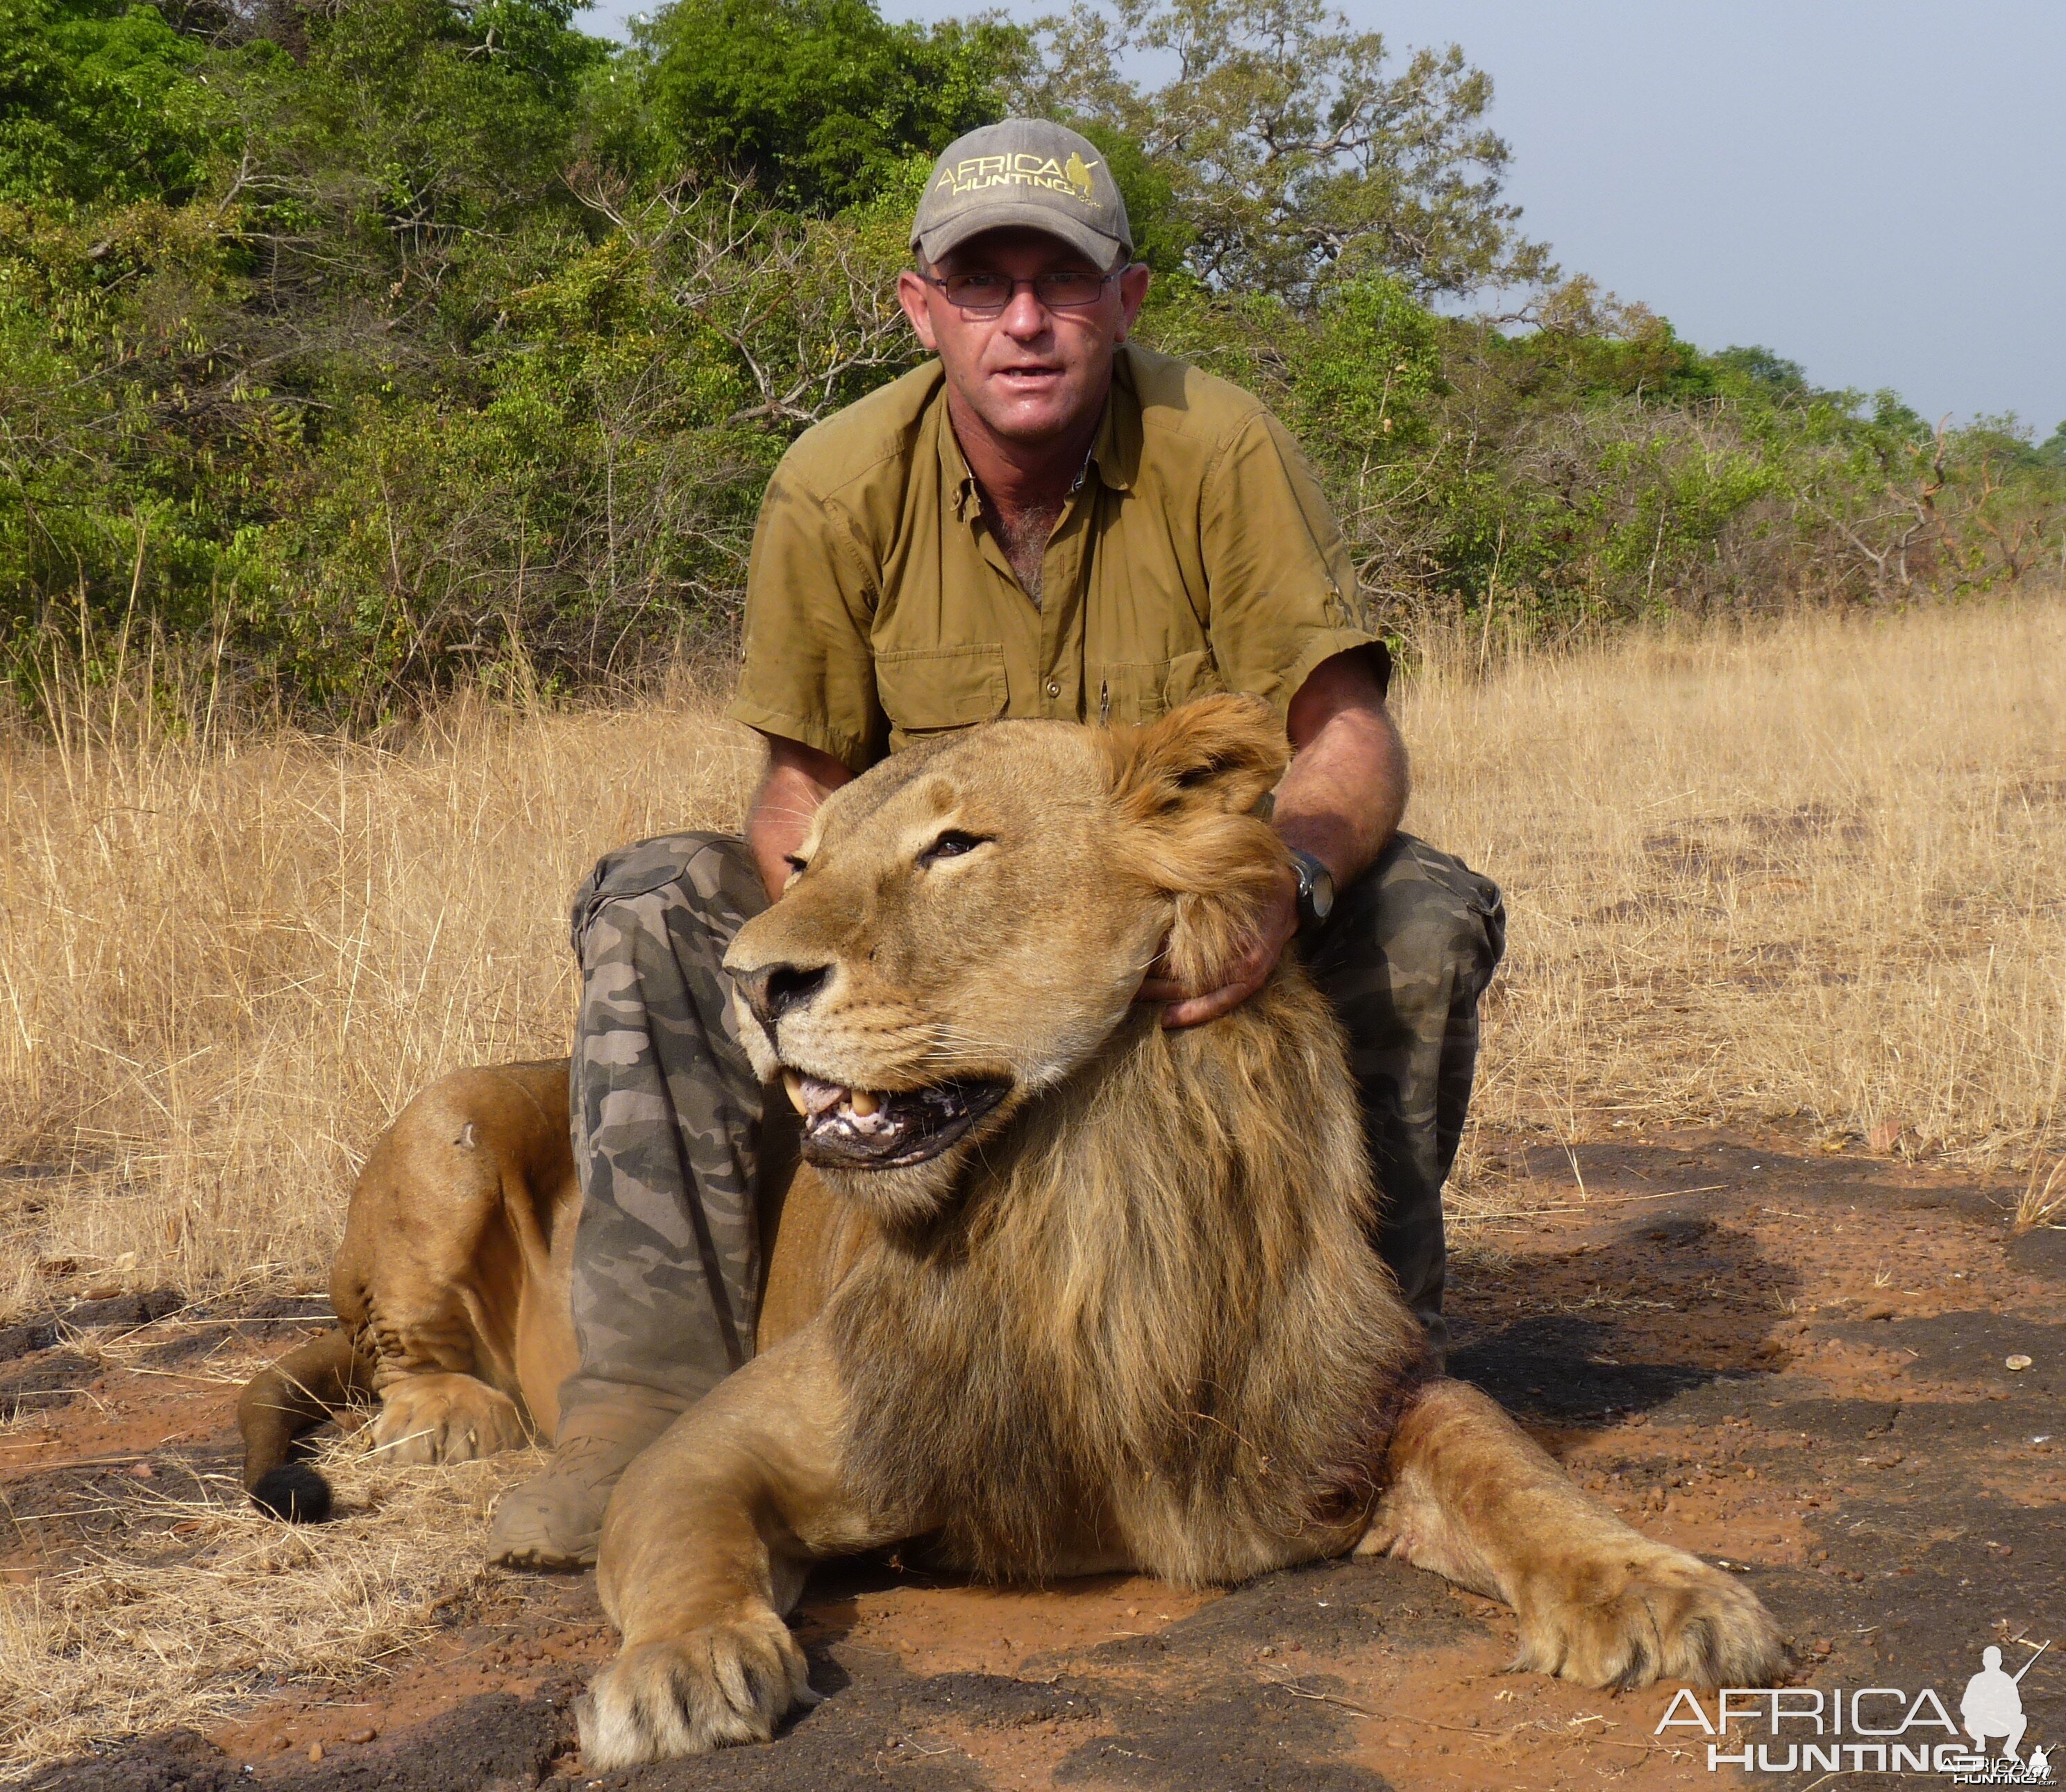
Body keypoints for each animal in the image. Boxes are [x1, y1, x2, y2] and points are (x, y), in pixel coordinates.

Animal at [234, 698, 1785, 1767]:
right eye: (802, 858)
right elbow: (684, 1550)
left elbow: (1515, 1469)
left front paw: (1662, 1589)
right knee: (400, 1340)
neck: (1074, 1188)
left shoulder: (1337, 1392)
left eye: (954, 844)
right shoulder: (733, 1437)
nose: (750, 978)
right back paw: (450, 1417)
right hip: (445, 1121)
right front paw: (678, 1673)